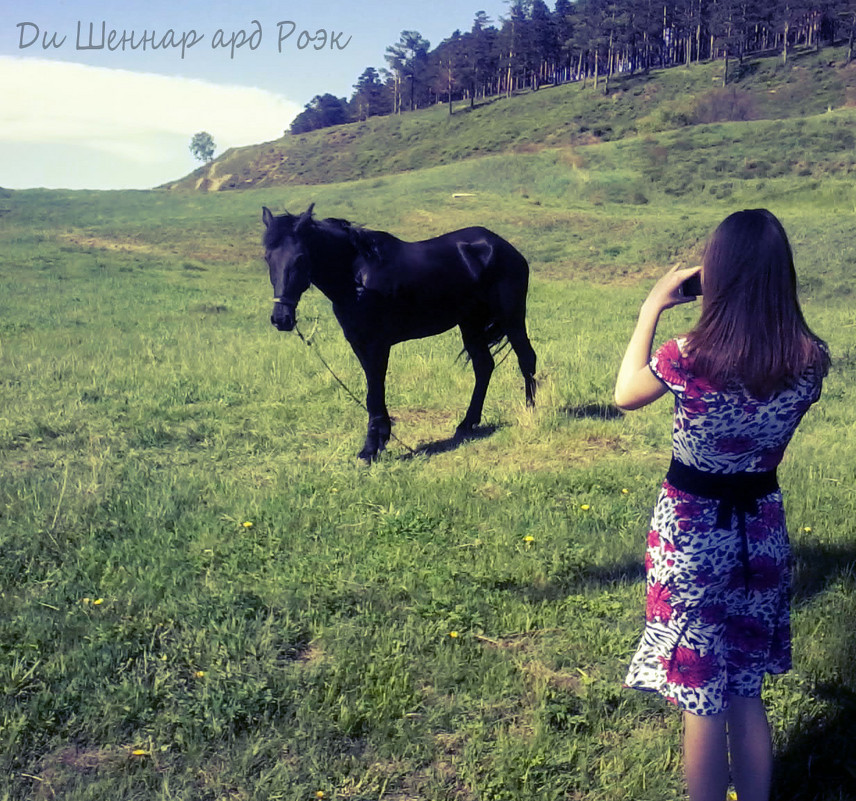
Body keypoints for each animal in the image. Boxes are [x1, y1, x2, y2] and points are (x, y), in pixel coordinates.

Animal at [264, 203, 540, 460]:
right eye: (267, 258)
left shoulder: (377, 344)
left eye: (300, 258)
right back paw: (466, 424)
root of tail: (503, 247)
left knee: (526, 359)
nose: (281, 319)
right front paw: (379, 441)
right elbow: (374, 391)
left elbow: (374, 392)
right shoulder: (358, 343)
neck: (357, 278)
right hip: (470, 324)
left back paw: (530, 411)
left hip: (512, 317)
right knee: (484, 367)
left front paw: (370, 449)